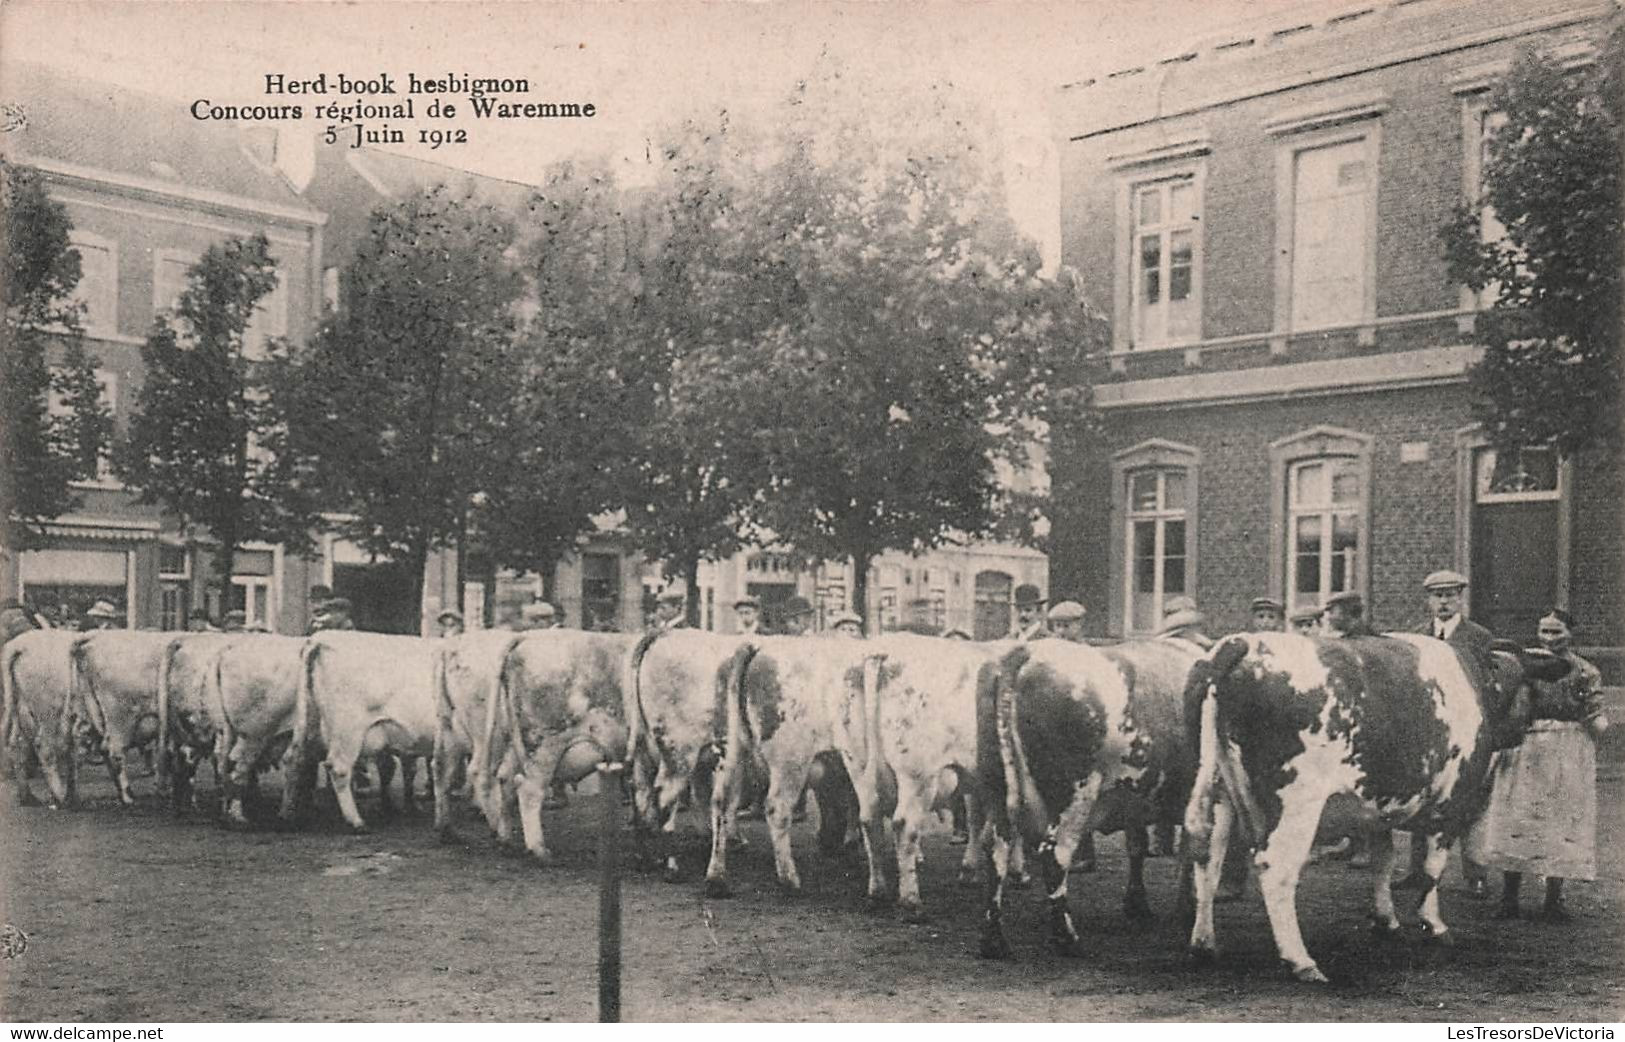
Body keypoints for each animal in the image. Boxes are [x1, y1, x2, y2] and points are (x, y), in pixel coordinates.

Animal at [1183, 630, 1560, 981]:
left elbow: (1384, 860)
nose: (1524, 731)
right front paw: (1433, 924)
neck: (1479, 681)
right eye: (1529, 688)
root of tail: (1242, 642)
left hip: (1219, 792)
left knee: (1207, 860)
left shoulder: (1378, 809)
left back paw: (1203, 944)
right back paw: (1301, 962)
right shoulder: (1452, 801)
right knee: (1275, 869)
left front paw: (1386, 919)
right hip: (1297, 802)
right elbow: (1432, 868)